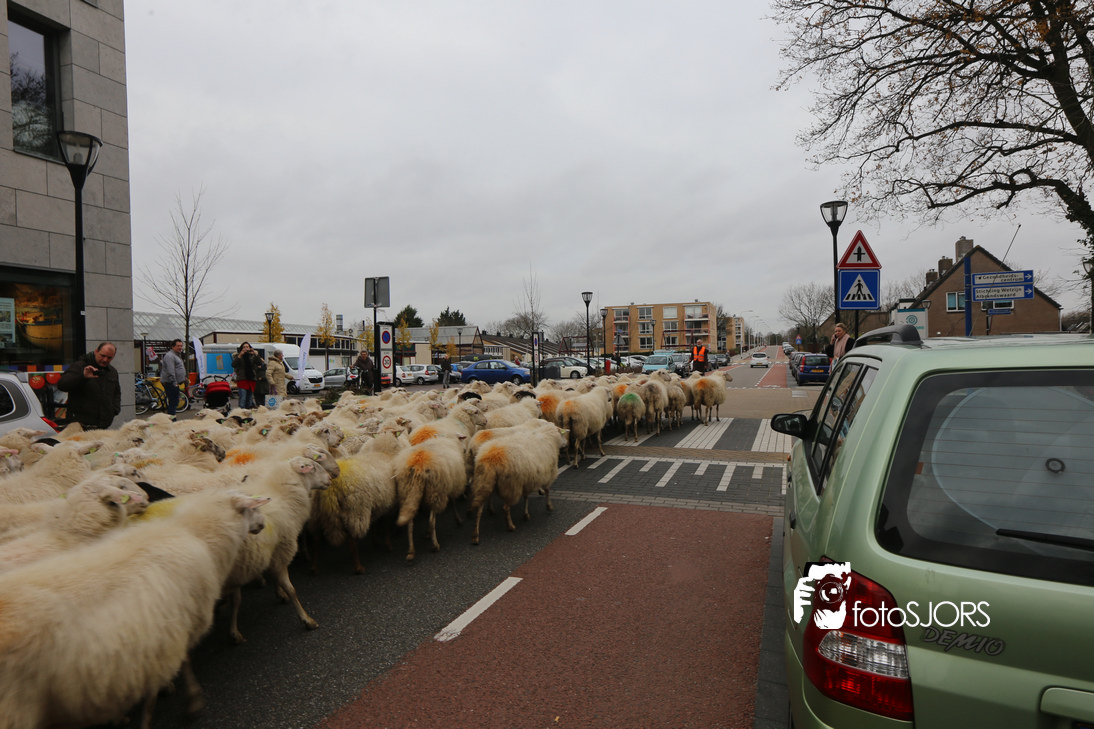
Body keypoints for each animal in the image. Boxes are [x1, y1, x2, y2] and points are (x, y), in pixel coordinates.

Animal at [0, 488, 268, 729]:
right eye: (250, 508)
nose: (263, 525)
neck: (195, 534)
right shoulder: (172, 633)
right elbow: (178, 671)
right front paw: (189, 702)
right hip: (17, 710)